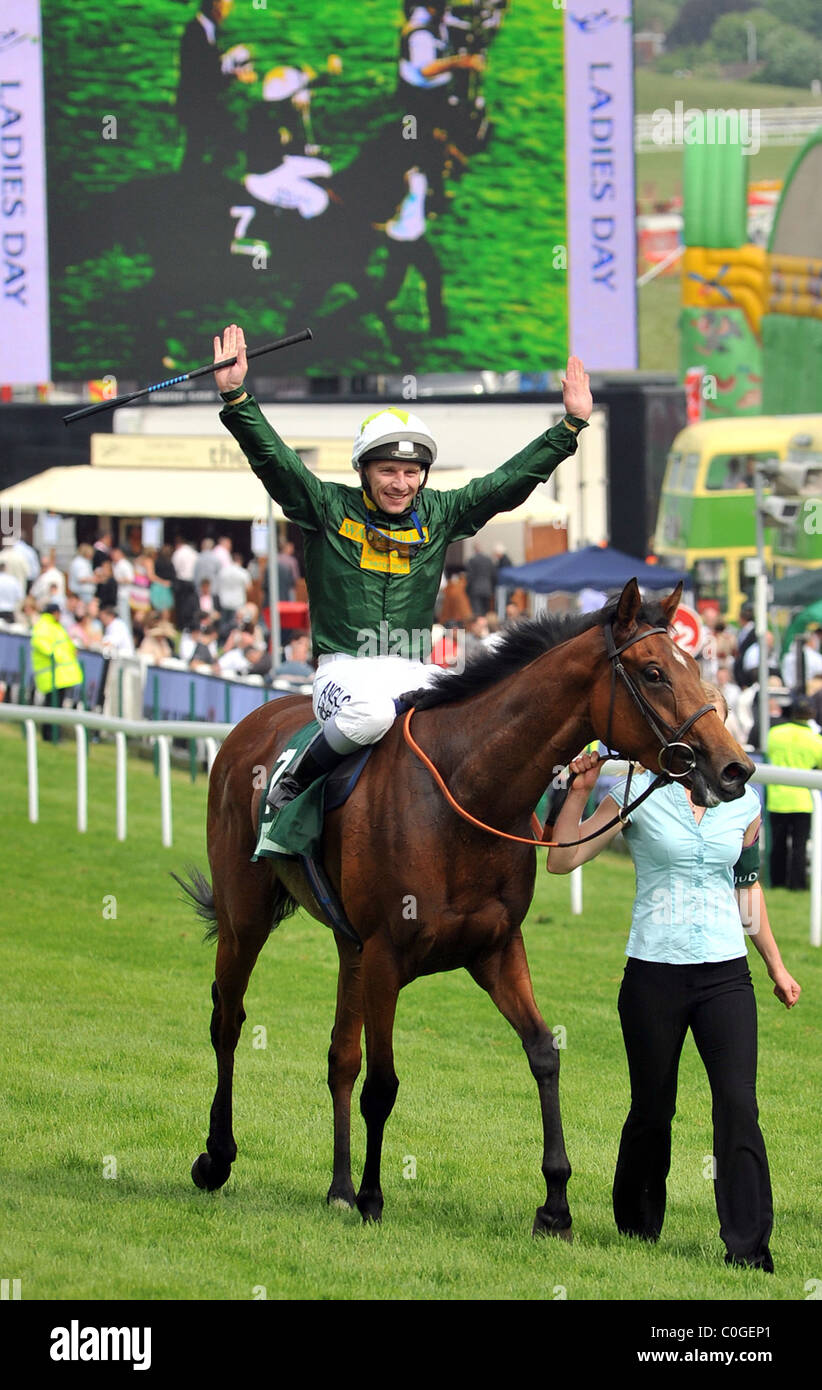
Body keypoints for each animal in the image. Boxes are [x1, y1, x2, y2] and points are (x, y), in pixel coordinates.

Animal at [178, 581, 751, 1234]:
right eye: (654, 672)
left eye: (698, 670)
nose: (735, 768)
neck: (468, 791)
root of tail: (251, 720)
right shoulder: (387, 956)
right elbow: (383, 1083)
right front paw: (374, 1197)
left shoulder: (496, 948)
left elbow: (542, 1053)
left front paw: (555, 1204)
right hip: (245, 918)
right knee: (228, 1021)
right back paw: (218, 1157)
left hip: (349, 945)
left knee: (339, 1057)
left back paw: (338, 1187)